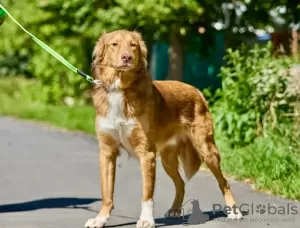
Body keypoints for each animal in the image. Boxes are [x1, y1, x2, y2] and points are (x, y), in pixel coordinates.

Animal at [83, 30, 243, 228]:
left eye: (133, 45)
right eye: (114, 44)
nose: (127, 57)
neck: (120, 89)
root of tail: (197, 91)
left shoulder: (147, 154)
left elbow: (147, 193)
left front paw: (146, 219)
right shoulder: (107, 152)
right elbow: (106, 192)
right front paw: (100, 219)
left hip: (207, 149)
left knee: (223, 182)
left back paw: (234, 210)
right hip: (167, 159)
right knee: (181, 183)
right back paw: (175, 210)